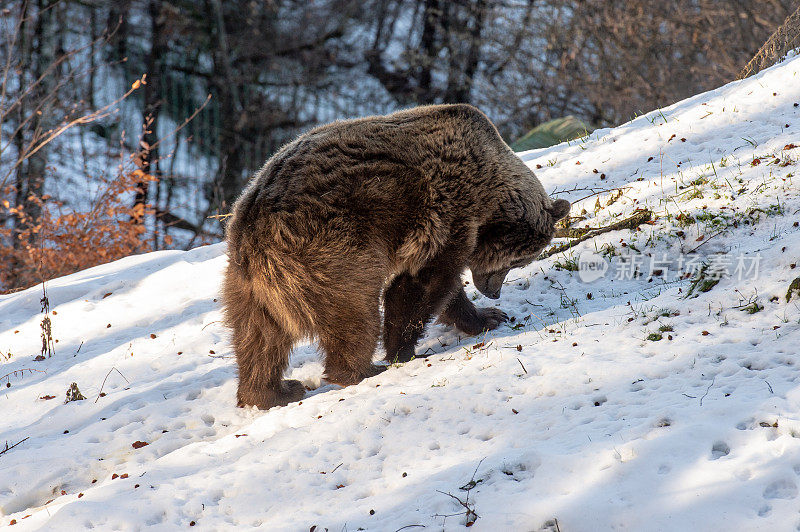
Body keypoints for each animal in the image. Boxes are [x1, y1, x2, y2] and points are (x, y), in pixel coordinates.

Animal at [222, 105, 572, 412]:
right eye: (518, 262)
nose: (494, 292)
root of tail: (255, 227)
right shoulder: (446, 212)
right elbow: (423, 284)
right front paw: (404, 351)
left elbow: (445, 289)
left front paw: (487, 316)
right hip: (329, 249)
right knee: (353, 312)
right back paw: (360, 370)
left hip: (246, 282)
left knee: (258, 338)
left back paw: (272, 392)